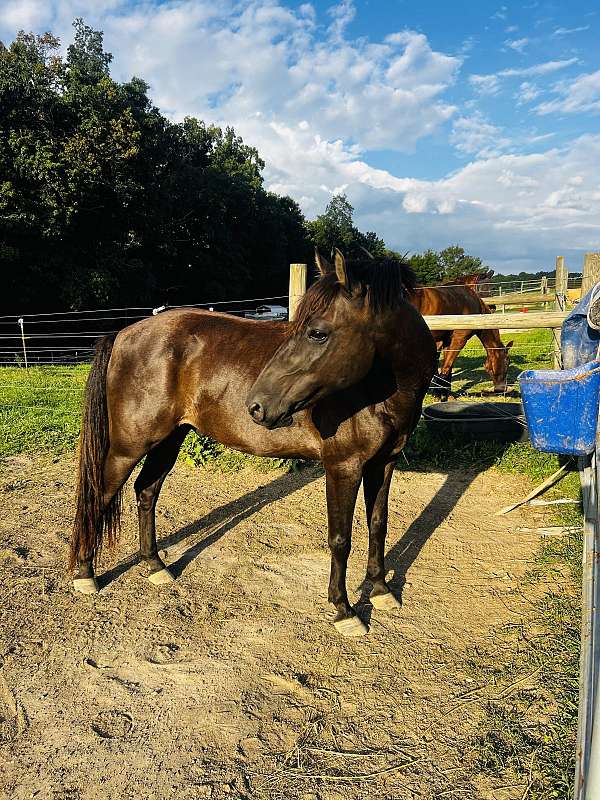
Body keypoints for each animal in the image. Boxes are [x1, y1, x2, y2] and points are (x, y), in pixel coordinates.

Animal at [70, 250, 436, 636]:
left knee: (146, 491)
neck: (376, 391)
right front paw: (344, 610)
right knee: (100, 495)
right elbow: (341, 538)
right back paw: (85, 574)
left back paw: (155, 566)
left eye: (317, 333)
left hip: (169, 438)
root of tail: (123, 333)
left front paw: (380, 590)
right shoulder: (343, 467)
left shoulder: (384, 462)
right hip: (130, 446)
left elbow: (378, 525)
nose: (257, 406)